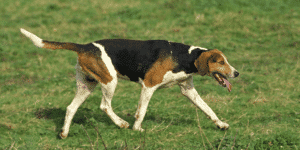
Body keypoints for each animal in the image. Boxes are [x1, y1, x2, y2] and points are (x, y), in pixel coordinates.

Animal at [19, 28, 239, 138]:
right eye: (220, 62)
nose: (236, 73)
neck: (184, 57)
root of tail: (85, 46)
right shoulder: (149, 85)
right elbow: (141, 111)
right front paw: (136, 129)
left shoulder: (188, 90)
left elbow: (208, 109)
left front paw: (221, 125)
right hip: (110, 81)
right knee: (104, 106)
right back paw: (121, 124)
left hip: (87, 85)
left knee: (71, 108)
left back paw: (64, 133)